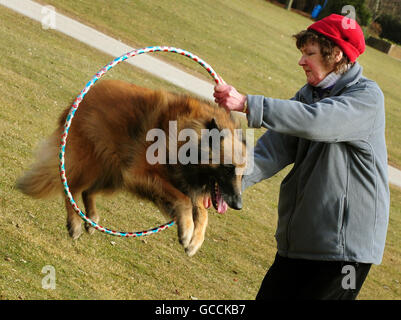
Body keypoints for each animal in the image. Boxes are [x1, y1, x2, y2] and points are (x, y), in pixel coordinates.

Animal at [17, 80, 245, 258]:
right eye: (228, 168)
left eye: (242, 174)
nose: (238, 205)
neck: (187, 135)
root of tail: (83, 96)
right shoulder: (141, 174)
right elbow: (184, 200)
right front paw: (187, 231)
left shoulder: (185, 183)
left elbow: (200, 211)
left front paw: (195, 240)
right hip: (92, 164)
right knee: (70, 187)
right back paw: (74, 223)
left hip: (114, 175)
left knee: (87, 191)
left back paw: (91, 219)